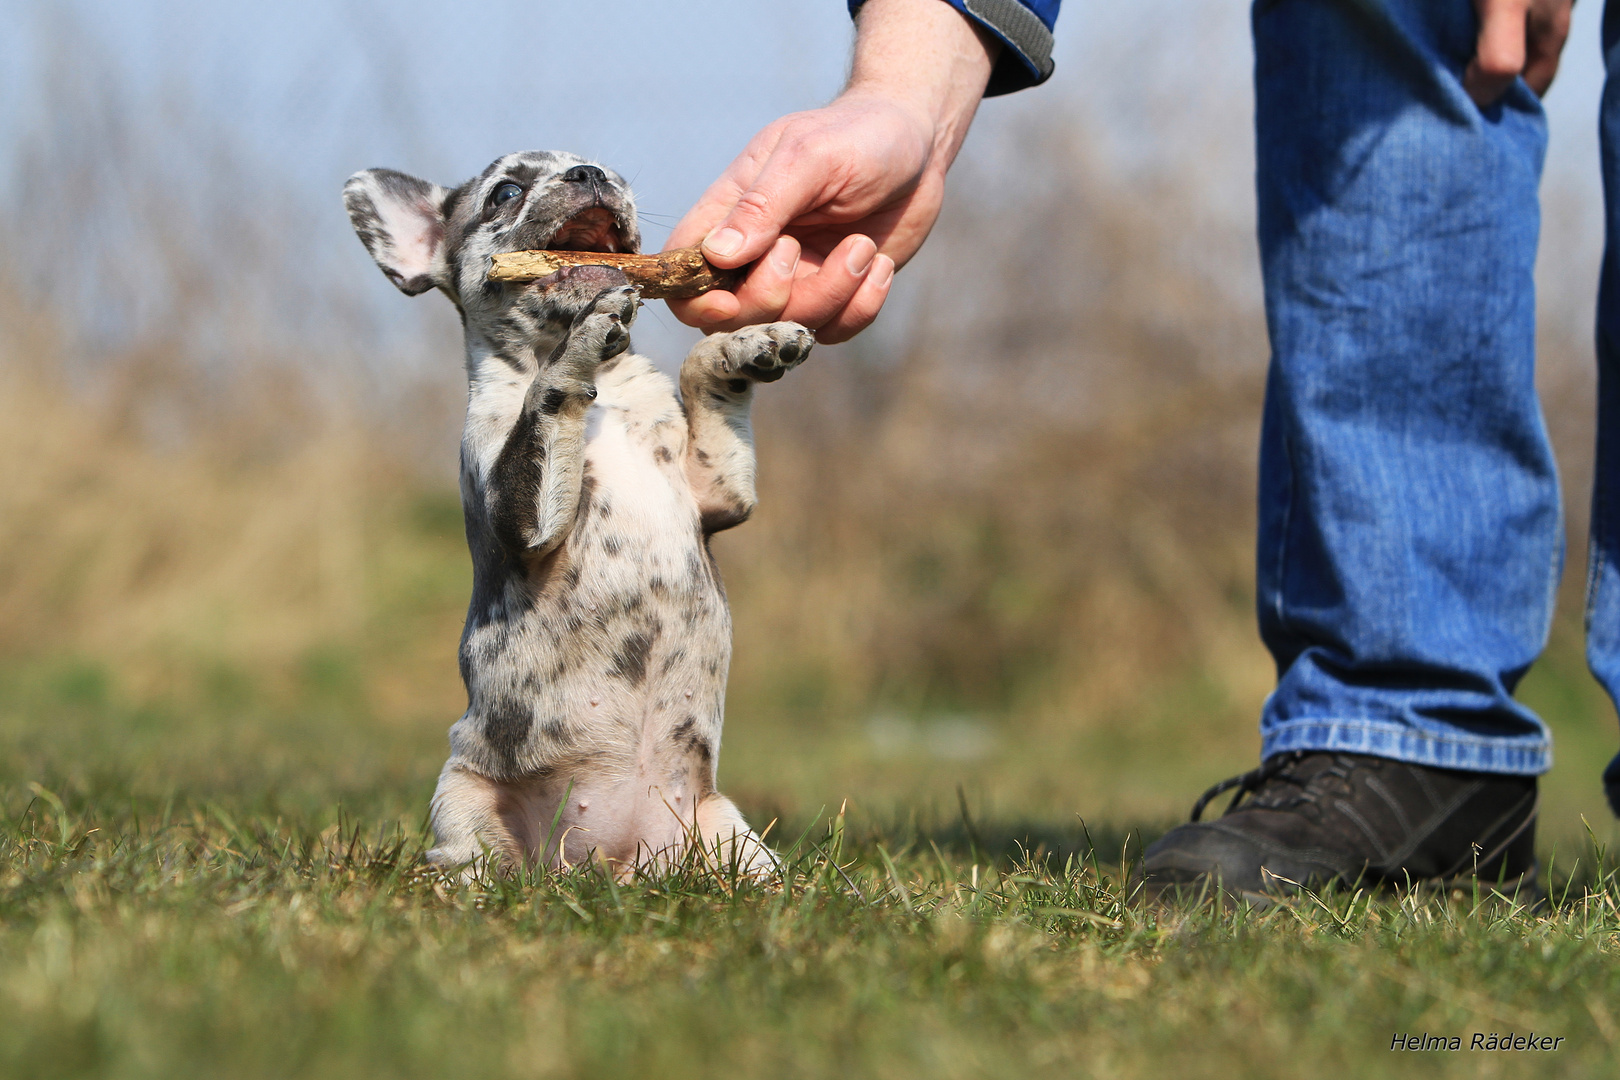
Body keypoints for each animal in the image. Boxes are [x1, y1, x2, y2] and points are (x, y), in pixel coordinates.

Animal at [341, 152, 810, 880]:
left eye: (611, 171)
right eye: (505, 192)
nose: (591, 172)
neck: (608, 394)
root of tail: (603, 867)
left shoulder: (716, 492)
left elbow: (702, 372)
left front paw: (746, 345)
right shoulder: (522, 509)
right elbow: (547, 395)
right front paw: (580, 344)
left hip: (728, 835)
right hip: (461, 797)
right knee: (467, 860)